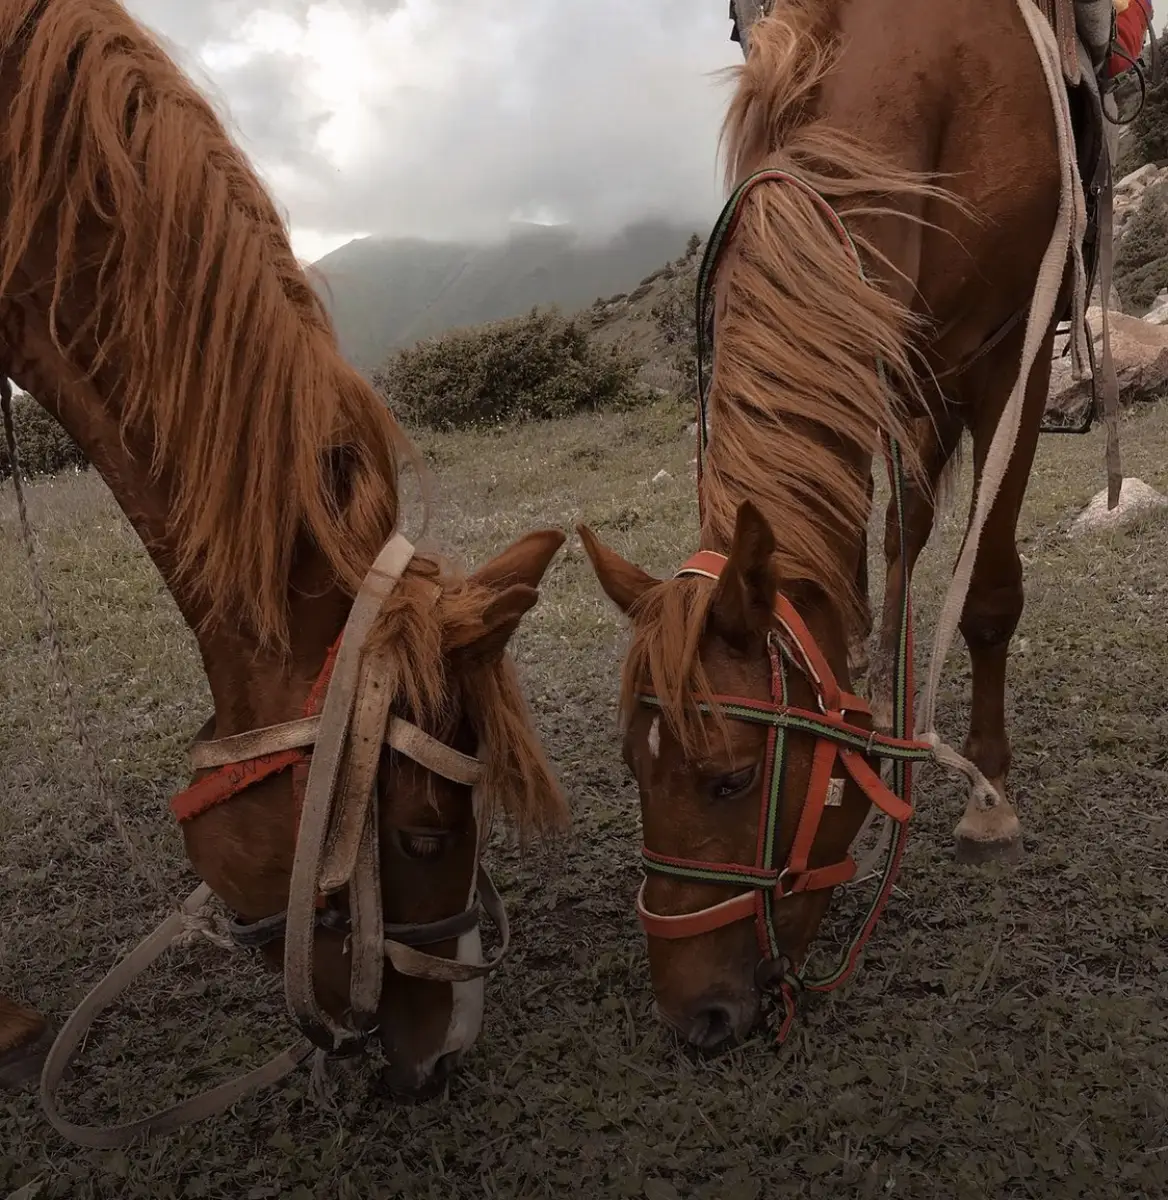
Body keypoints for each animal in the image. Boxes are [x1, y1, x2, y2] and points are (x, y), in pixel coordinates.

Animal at [578, 0, 1093, 1050]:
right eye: (631, 768)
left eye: (732, 779)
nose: (694, 1016)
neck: (943, 71)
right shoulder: (879, 344)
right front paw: (878, 700)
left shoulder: (1010, 356)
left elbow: (989, 591)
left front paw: (989, 801)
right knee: (903, 534)